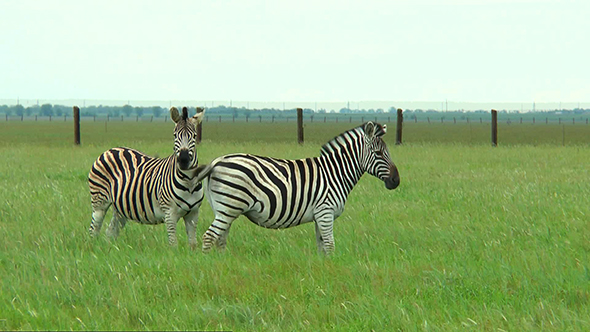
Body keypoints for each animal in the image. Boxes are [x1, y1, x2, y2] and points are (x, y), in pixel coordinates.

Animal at [86, 106, 208, 249]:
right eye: (174, 135)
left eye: (195, 136)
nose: (183, 160)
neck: (188, 182)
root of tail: (110, 150)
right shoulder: (170, 213)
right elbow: (173, 244)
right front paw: (173, 254)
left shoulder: (193, 213)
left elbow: (193, 244)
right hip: (99, 201)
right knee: (94, 229)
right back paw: (94, 248)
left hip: (120, 207)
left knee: (110, 231)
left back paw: (112, 249)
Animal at [194, 122, 402, 254]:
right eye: (378, 153)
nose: (396, 180)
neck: (335, 172)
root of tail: (217, 161)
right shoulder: (325, 212)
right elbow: (330, 245)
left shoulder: (320, 216)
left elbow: (322, 246)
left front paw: (324, 268)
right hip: (229, 207)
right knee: (209, 237)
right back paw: (210, 267)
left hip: (224, 209)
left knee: (220, 238)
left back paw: (222, 262)